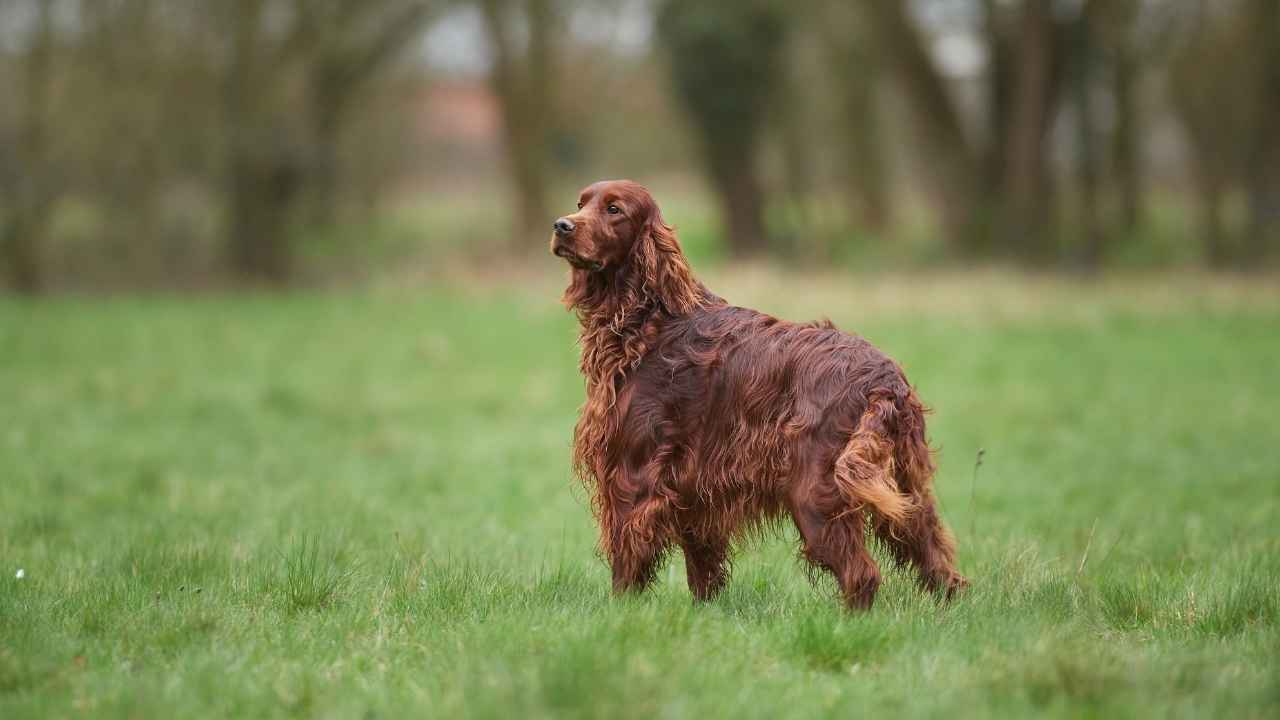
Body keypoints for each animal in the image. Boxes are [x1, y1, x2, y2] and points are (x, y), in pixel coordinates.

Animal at [550, 179, 962, 604]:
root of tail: (882, 378)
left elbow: (626, 566)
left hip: (815, 493)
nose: (562, 225)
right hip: (904, 490)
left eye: (614, 209)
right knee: (939, 565)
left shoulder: (632, 476)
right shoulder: (695, 493)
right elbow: (703, 572)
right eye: (582, 203)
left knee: (861, 575)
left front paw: (621, 612)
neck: (649, 320)